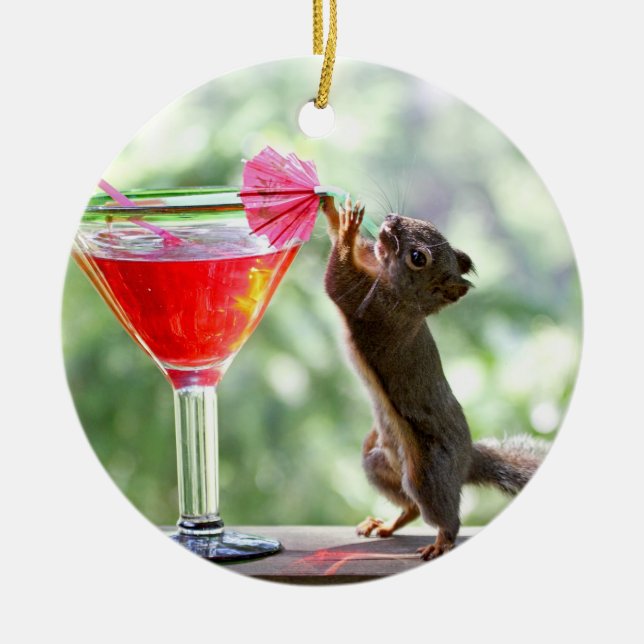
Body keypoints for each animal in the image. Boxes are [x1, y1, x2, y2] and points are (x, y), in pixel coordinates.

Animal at [321, 195, 548, 560]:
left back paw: (442, 541)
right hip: (379, 462)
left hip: (426, 473)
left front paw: (347, 226)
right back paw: (385, 525)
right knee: (411, 506)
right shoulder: (373, 267)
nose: (391, 218)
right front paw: (331, 208)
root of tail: (466, 461)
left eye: (418, 258)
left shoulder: (376, 311)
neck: (402, 295)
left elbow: (338, 280)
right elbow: (360, 251)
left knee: (442, 513)